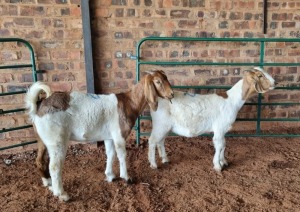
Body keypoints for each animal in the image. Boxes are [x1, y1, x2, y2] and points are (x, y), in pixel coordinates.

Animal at [27, 70, 175, 201]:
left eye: (166, 78)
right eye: (158, 81)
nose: (172, 94)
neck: (129, 102)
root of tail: (39, 105)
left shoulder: (109, 136)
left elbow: (110, 154)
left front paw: (110, 176)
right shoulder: (119, 134)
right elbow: (122, 155)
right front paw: (126, 178)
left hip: (42, 138)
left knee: (39, 161)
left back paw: (48, 183)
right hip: (56, 139)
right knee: (55, 166)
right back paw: (62, 194)